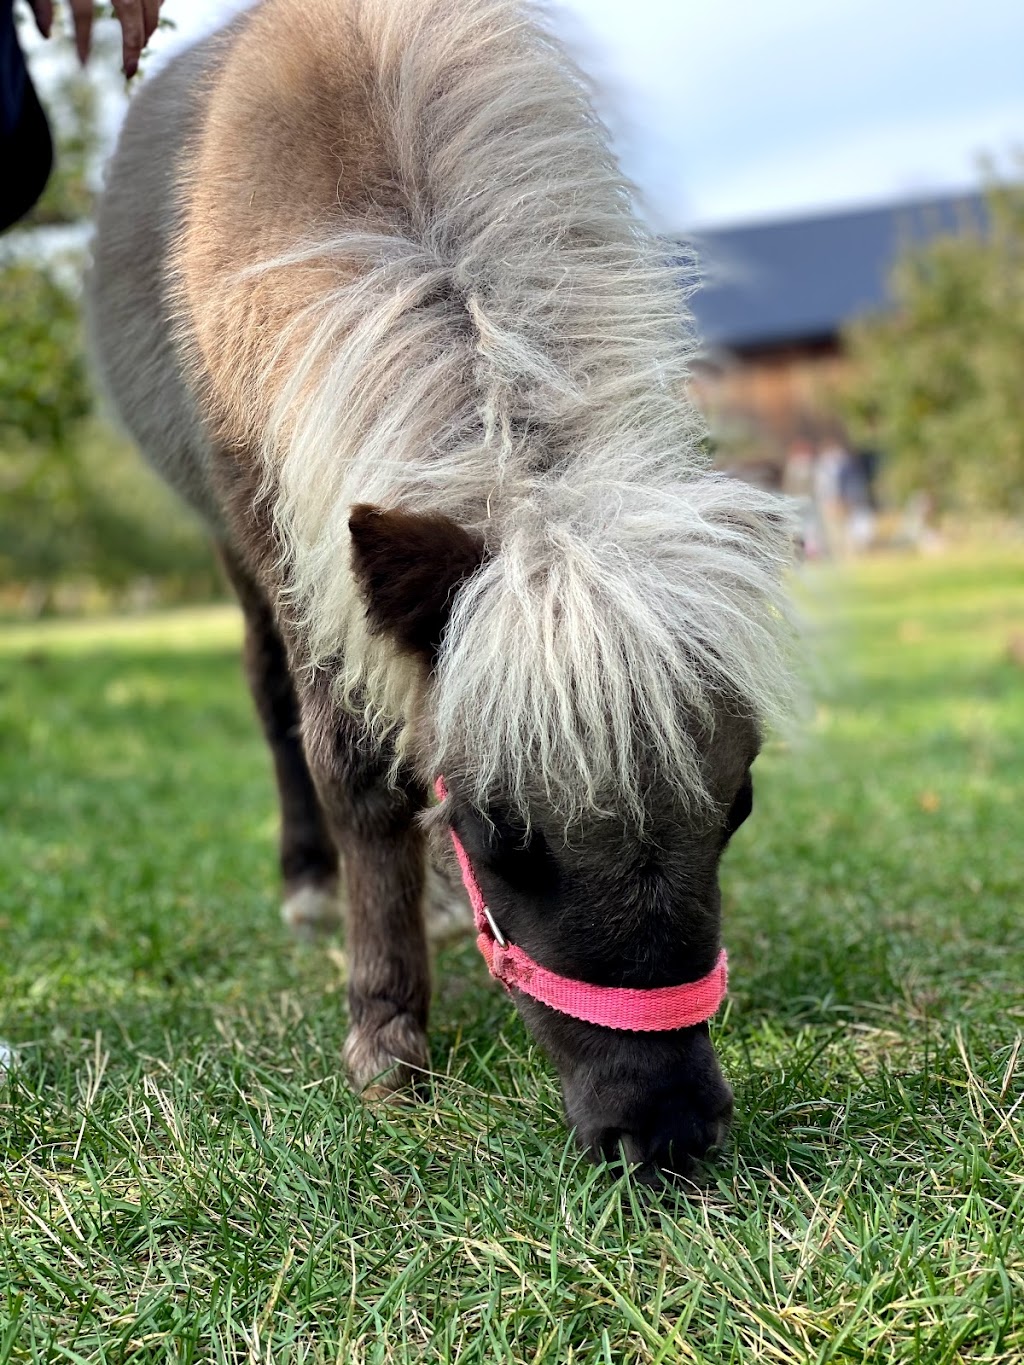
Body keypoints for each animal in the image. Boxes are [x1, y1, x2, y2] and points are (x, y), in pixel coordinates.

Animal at [90, 0, 791, 1173]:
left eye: (737, 802)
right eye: (498, 825)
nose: (663, 1132)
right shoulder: (289, 546)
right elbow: (353, 772)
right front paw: (385, 1033)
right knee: (270, 702)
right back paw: (310, 884)